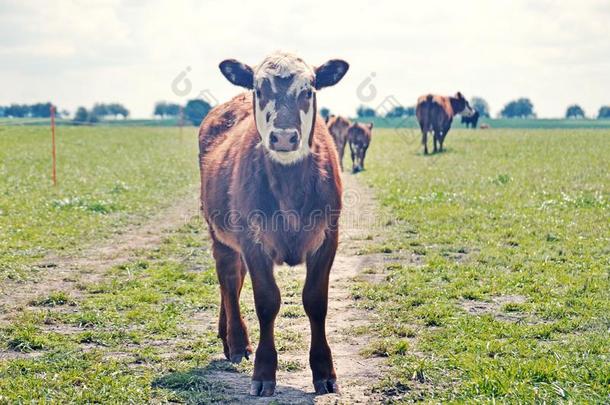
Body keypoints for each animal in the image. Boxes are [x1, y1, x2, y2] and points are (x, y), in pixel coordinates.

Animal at [198, 50, 346, 394]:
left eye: (309, 90)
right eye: (259, 89)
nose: (283, 137)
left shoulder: (328, 238)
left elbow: (316, 301)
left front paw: (324, 371)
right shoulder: (253, 241)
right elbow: (266, 301)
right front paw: (263, 372)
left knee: (234, 279)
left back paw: (226, 334)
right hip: (218, 232)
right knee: (228, 278)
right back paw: (237, 342)